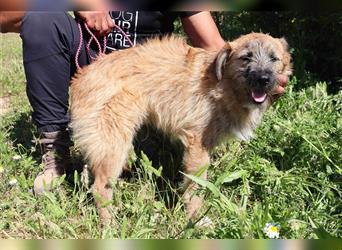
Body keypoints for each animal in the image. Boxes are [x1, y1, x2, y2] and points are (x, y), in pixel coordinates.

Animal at [71, 31, 292, 223]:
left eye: (274, 58)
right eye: (246, 57)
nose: (263, 79)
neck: (223, 84)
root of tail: (80, 77)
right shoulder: (197, 146)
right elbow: (196, 186)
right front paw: (196, 219)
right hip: (114, 143)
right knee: (100, 187)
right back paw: (109, 224)